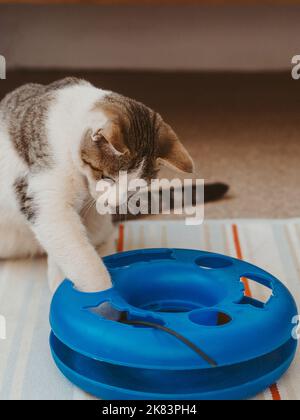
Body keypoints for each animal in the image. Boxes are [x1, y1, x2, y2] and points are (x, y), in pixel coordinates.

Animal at [0, 77, 229, 294]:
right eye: (106, 177)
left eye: (135, 188)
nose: (114, 204)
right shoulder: (47, 199)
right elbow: (79, 255)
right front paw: (102, 295)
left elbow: (69, 250)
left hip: (99, 225)